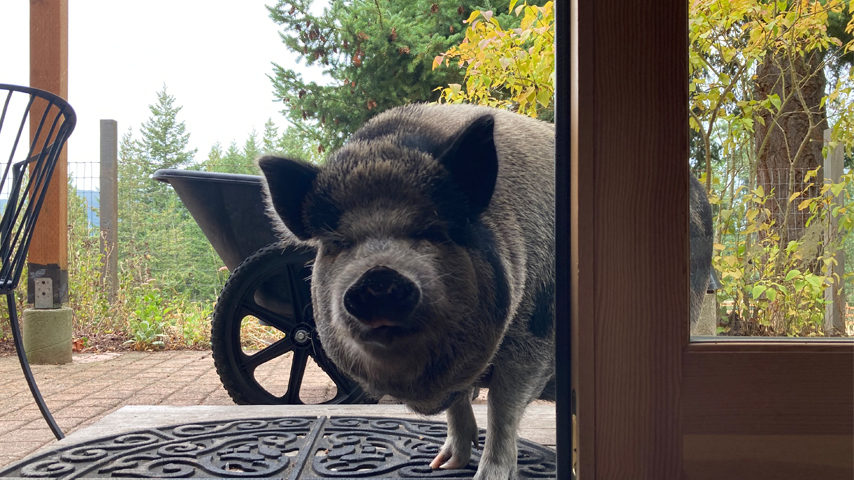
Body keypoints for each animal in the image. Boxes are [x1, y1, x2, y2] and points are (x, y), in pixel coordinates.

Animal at [260, 105, 556, 480]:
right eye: (340, 242)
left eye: (429, 230)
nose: (378, 276)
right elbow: (459, 403)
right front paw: (442, 465)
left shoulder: (535, 337)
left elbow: (502, 408)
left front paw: (483, 474)